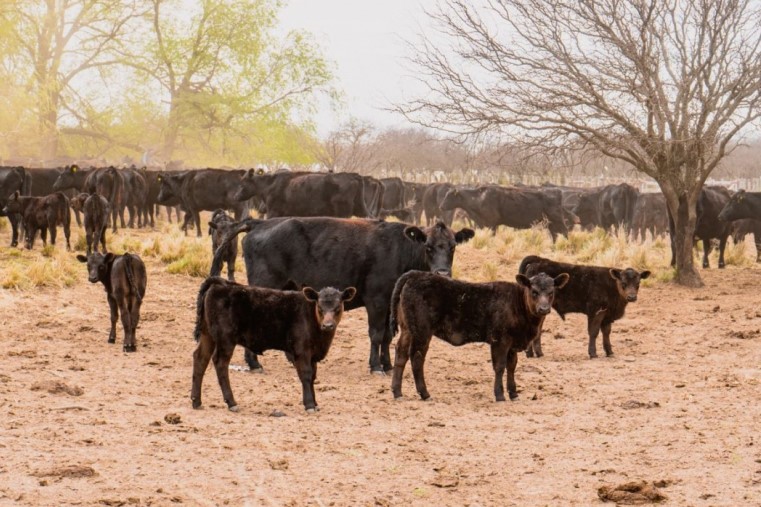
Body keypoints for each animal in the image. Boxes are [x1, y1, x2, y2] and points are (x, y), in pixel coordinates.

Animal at [190, 278, 356, 412]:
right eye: (320, 307)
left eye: (338, 307)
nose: (328, 325)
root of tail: (220, 283)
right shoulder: (301, 350)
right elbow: (306, 375)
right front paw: (309, 405)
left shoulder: (313, 354)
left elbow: (313, 376)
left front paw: (315, 404)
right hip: (225, 339)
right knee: (220, 363)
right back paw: (231, 403)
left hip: (207, 334)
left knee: (200, 358)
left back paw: (196, 401)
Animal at [208, 216, 470, 376]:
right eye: (428, 246)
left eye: (453, 246)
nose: (442, 273)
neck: (399, 249)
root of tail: (260, 223)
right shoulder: (376, 299)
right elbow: (376, 334)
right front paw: (376, 366)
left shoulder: (389, 304)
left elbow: (387, 336)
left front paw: (386, 365)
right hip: (265, 284)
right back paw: (254, 364)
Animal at [388, 272, 568, 402]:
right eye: (534, 291)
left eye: (551, 292)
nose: (543, 308)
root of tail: (414, 275)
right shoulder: (500, 340)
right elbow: (500, 366)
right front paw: (500, 395)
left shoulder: (512, 343)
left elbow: (512, 367)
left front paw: (514, 393)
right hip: (422, 331)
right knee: (417, 358)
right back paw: (424, 393)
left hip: (407, 330)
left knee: (401, 354)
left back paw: (397, 392)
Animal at [436, 186, 568, 241]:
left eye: (449, 196)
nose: (441, 206)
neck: (479, 198)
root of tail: (557, 191)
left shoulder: (492, 224)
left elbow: (492, 236)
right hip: (550, 223)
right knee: (554, 235)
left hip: (557, 220)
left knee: (565, 232)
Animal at [520, 256, 652, 360]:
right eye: (623, 283)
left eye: (638, 284)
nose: (632, 297)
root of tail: (540, 260)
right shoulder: (595, 311)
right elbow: (593, 332)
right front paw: (593, 353)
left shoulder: (606, 315)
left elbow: (606, 332)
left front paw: (609, 352)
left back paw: (536, 353)